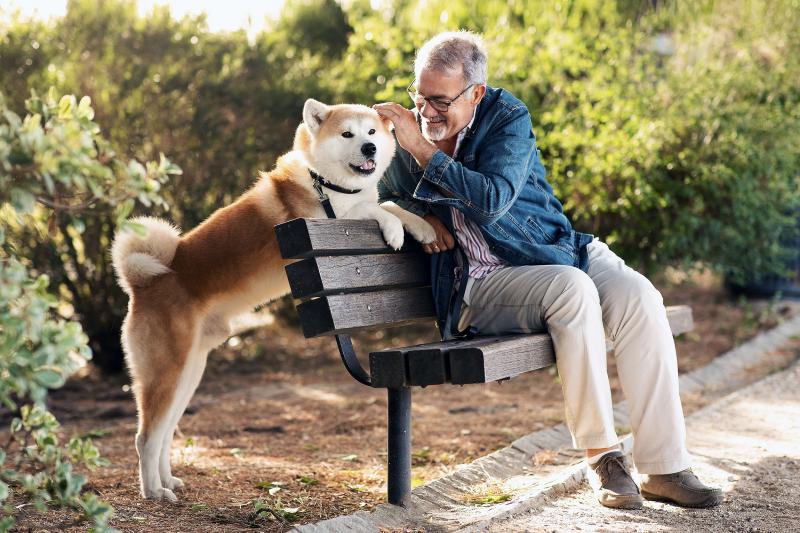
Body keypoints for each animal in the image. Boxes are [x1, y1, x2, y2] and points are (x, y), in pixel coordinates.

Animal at [109, 98, 434, 498]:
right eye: (348, 134)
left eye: (371, 132)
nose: (370, 148)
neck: (326, 185)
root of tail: (144, 283)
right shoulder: (316, 223)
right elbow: (374, 209)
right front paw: (394, 230)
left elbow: (390, 205)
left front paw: (423, 226)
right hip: (165, 370)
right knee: (146, 437)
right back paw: (154, 491)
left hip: (189, 371)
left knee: (166, 432)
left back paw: (167, 479)